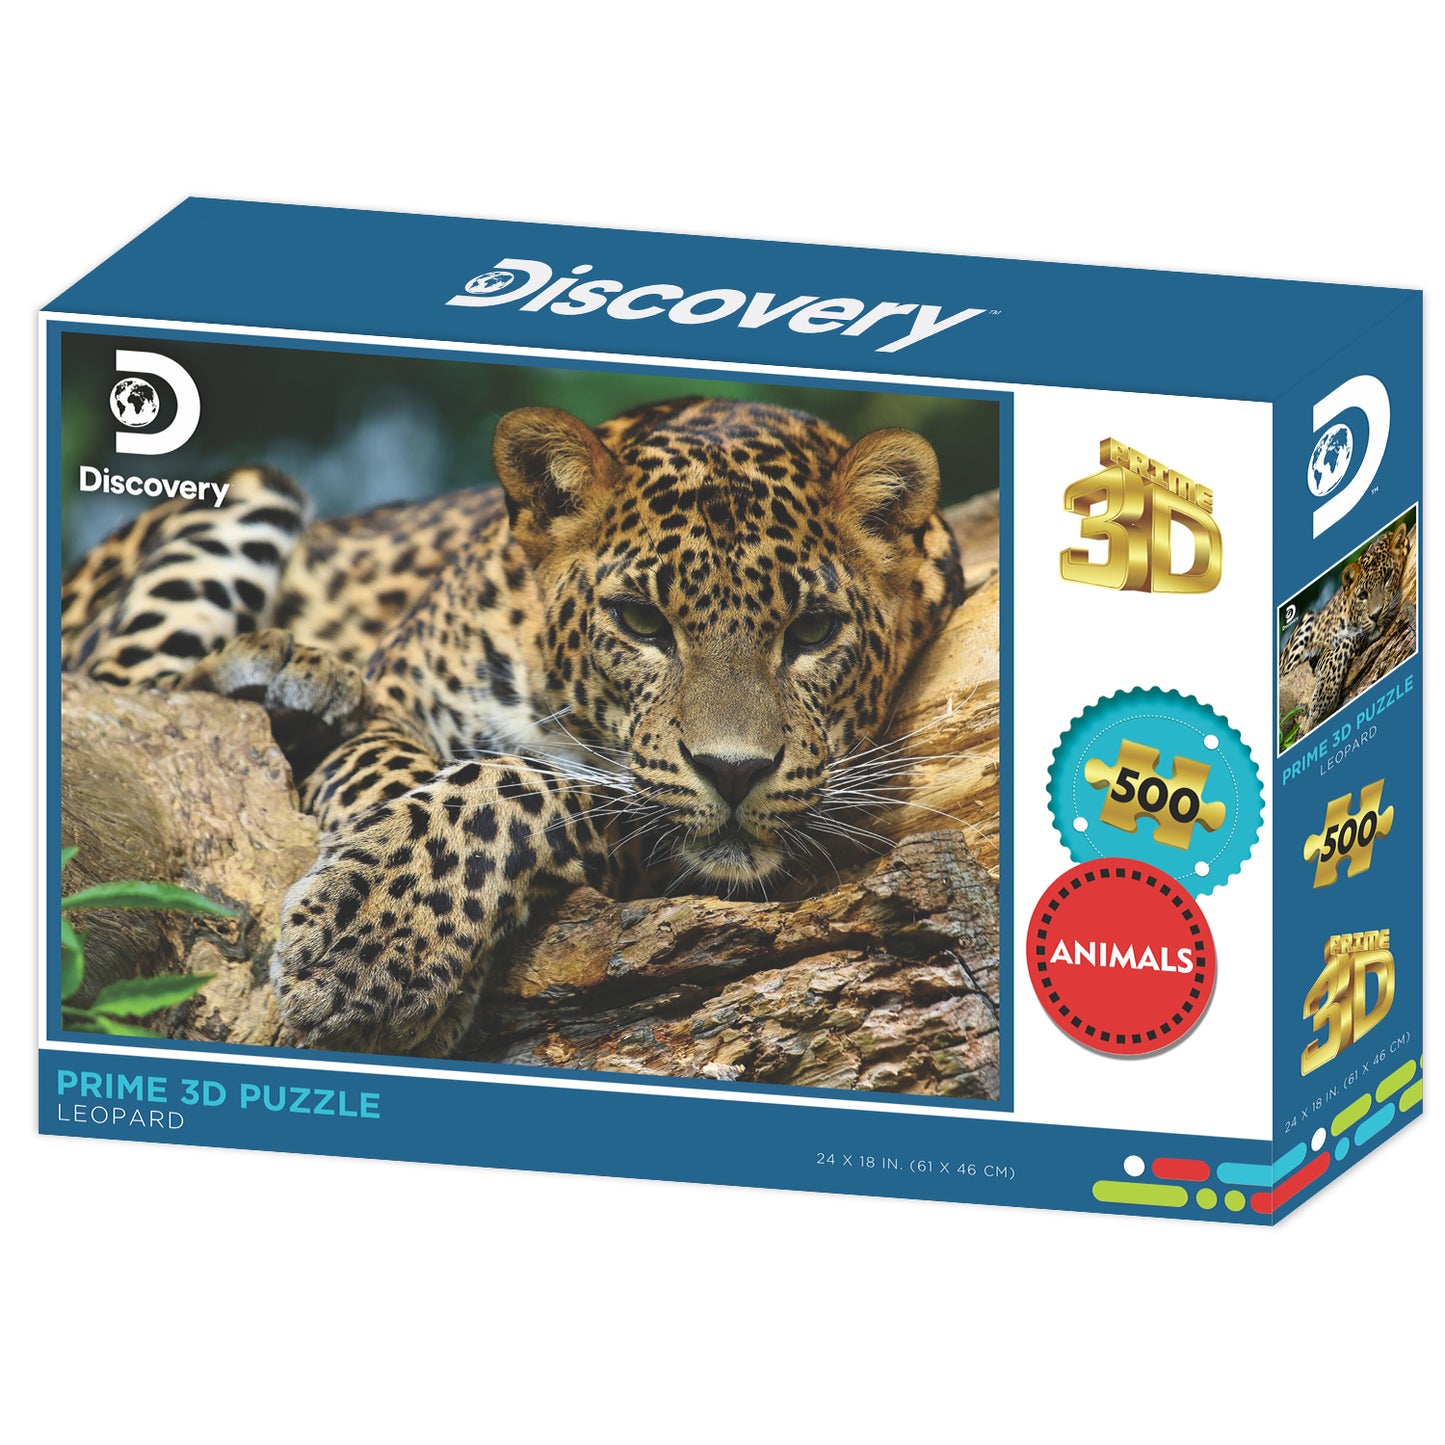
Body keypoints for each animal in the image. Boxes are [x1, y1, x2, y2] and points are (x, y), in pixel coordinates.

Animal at [60, 397, 966, 1058]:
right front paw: (373, 933)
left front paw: (374, 946)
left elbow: (511, 783)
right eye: (641, 621)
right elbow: (402, 777)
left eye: (812, 631)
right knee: (120, 687)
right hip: (250, 494)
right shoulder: (393, 698)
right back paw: (282, 669)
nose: (735, 770)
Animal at [1278, 520, 1412, 734]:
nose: (1375, 615)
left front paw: (1323, 695)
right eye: (1363, 595)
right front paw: (1323, 697)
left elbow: (1345, 643)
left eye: (1388, 577)